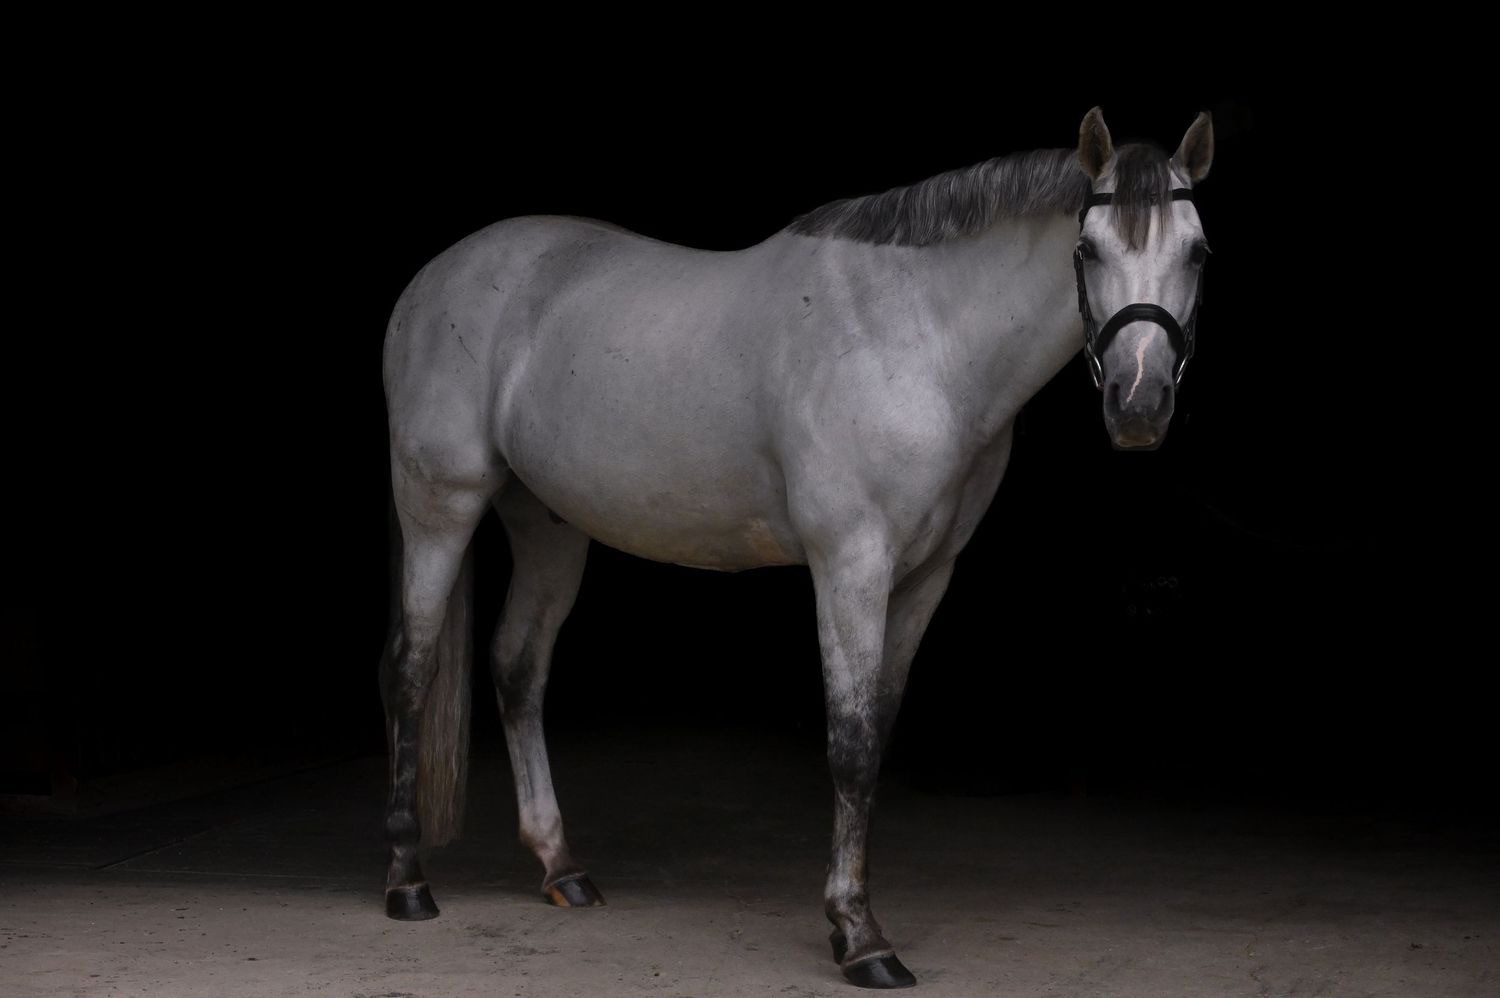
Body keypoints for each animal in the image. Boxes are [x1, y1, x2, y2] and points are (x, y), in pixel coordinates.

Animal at [378, 106, 1213, 989]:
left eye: (1198, 253)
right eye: (1088, 250)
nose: (1139, 405)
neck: (916, 336)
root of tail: (432, 280)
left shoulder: (926, 576)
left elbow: (878, 731)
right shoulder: (850, 565)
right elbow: (850, 745)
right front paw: (860, 936)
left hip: (547, 524)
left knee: (517, 668)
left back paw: (560, 865)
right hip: (440, 506)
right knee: (411, 670)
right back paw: (407, 880)